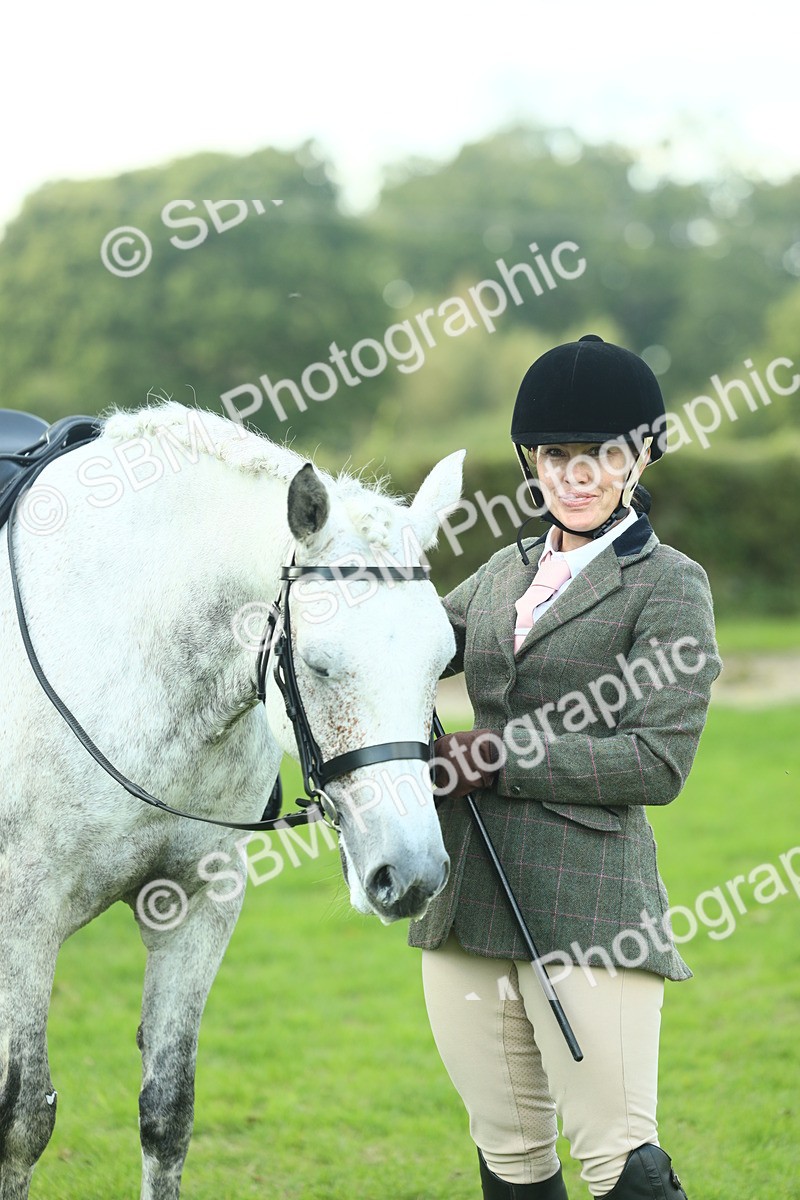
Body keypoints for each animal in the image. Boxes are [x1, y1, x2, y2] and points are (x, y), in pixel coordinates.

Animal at [0, 400, 464, 1200]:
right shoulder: (24, 918)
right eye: (319, 664)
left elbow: (167, 1111)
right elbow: (24, 1123)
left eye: (442, 662)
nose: (410, 875)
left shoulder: (196, 905)